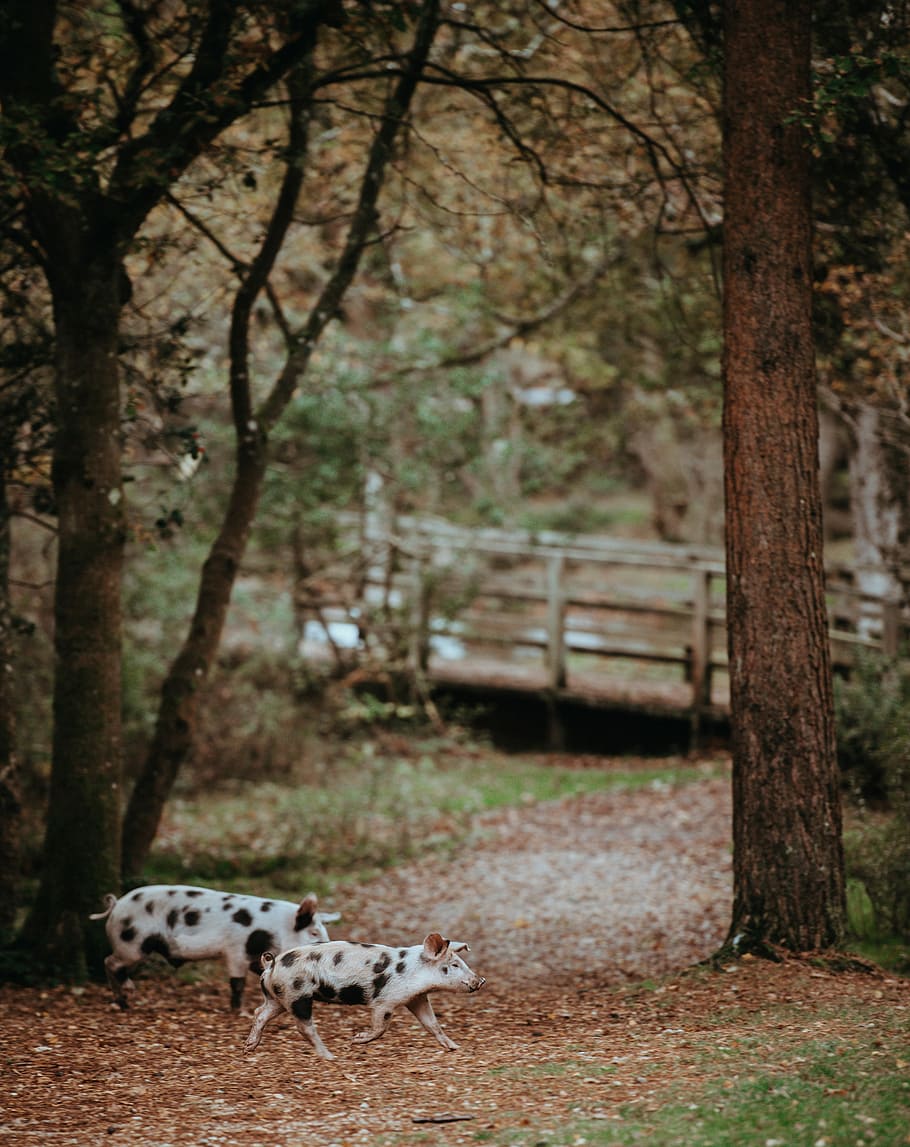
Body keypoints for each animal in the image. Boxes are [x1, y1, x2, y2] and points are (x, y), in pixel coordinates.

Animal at [90, 885, 340, 1011]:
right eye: (314, 932)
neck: (273, 929)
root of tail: (116, 905)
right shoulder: (235, 950)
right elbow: (237, 983)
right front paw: (239, 1012)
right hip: (132, 944)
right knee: (110, 962)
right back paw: (126, 998)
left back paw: (123, 1001)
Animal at [243, 932, 485, 1060]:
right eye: (454, 965)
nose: (480, 980)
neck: (413, 971)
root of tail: (271, 964)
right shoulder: (384, 1001)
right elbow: (381, 1027)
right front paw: (356, 1039)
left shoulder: (416, 998)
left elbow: (432, 1024)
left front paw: (455, 1047)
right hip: (297, 995)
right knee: (304, 1026)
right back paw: (331, 1056)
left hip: (279, 998)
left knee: (259, 1012)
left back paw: (249, 1047)